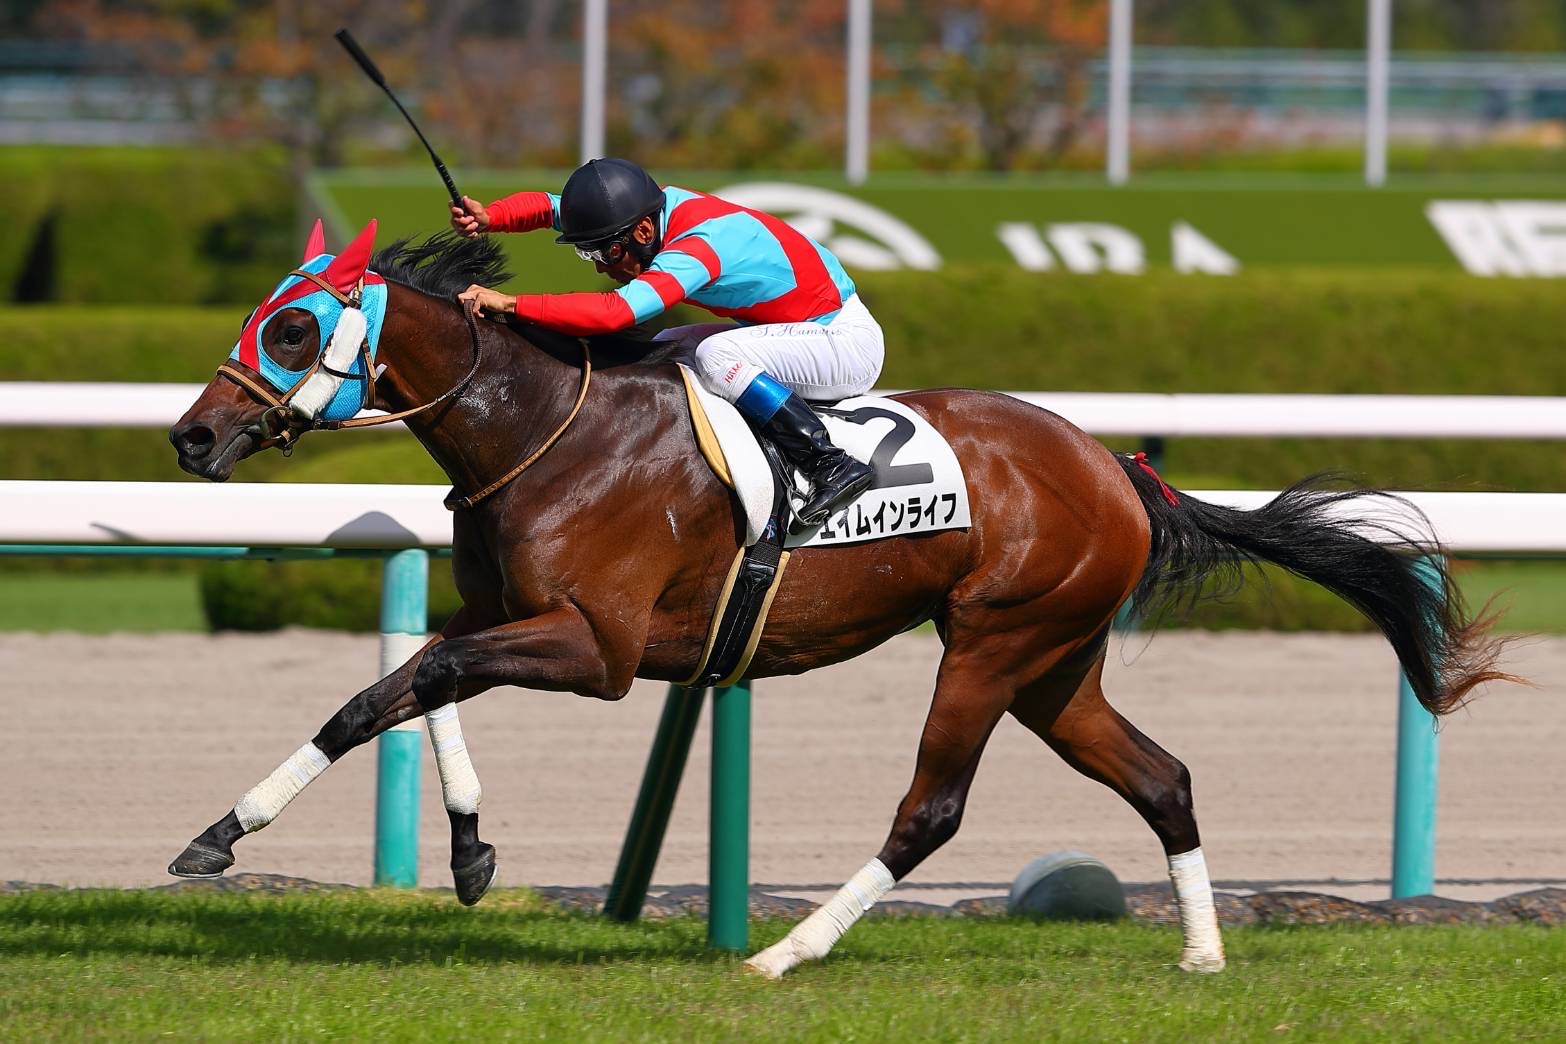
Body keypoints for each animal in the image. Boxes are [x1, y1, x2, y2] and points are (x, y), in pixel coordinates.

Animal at [167, 220, 1510, 977]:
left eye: (292, 328)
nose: (191, 438)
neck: (544, 428)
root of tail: (1117, 468)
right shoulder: (503, 615)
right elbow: (404, 687)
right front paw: (439, 848)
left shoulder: (598, 651)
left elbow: (413, 683)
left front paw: (251, 835)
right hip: (1055, 670)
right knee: (1164, 777)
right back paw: (1202, 955)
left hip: (990, 648)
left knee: (932, 814)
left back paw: (785, 955)